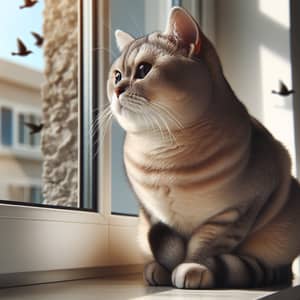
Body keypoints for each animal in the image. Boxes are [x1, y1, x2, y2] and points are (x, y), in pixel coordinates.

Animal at [106, 6, 300, 288]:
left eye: (143, 70)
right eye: (117, 76)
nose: (117, 90)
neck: (162, 149)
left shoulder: (233, 214)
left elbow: (202, 247)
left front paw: (192, 268)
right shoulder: (152, 213)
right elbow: (167, 247)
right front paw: (162, 270)